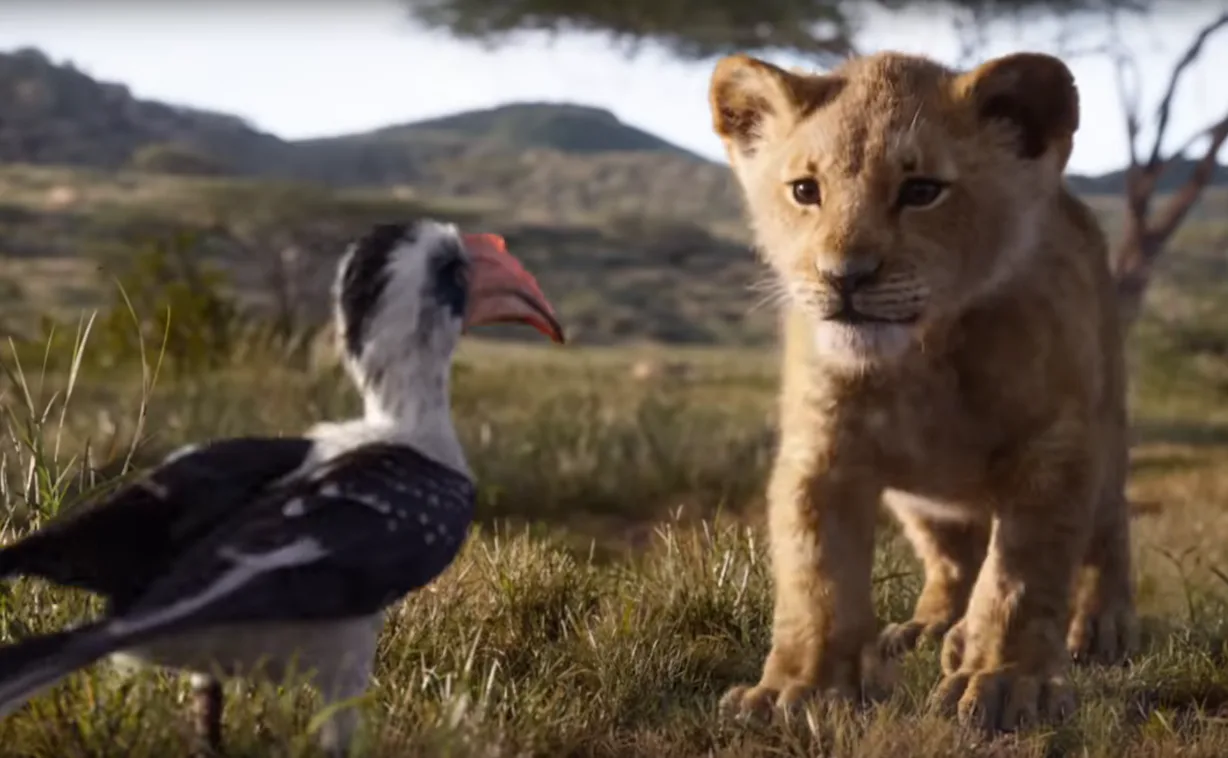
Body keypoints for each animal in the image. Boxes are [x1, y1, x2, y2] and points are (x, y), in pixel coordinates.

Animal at [707, 50, 1137, 732]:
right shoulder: (821, 451)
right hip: (922, 502)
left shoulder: (1054, 445)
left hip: (1105, 429)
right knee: (953, 560)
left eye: (921, 191)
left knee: (1108, 527)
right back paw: (931, 630)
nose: (844, 277)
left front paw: (1002, 682)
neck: (922, 358)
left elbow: (1020, 576)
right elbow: (815, 577)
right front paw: (794, 690)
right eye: (805, 191)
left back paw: (1101, 626)